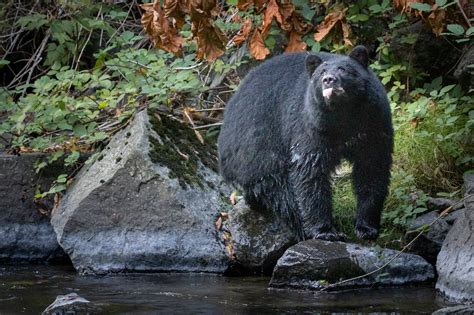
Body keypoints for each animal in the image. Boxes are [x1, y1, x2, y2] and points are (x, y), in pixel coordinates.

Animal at [218, 45, 392, 241]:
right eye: (321, 72)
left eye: (343, 69)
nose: (328, 80)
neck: (343, 116)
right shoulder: (310, 126)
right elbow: (309, 172)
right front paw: (325, 231)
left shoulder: (373, 124)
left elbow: (371, 168)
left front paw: (367, 227)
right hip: (259, 151)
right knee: (282, 192)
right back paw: (301, 228)